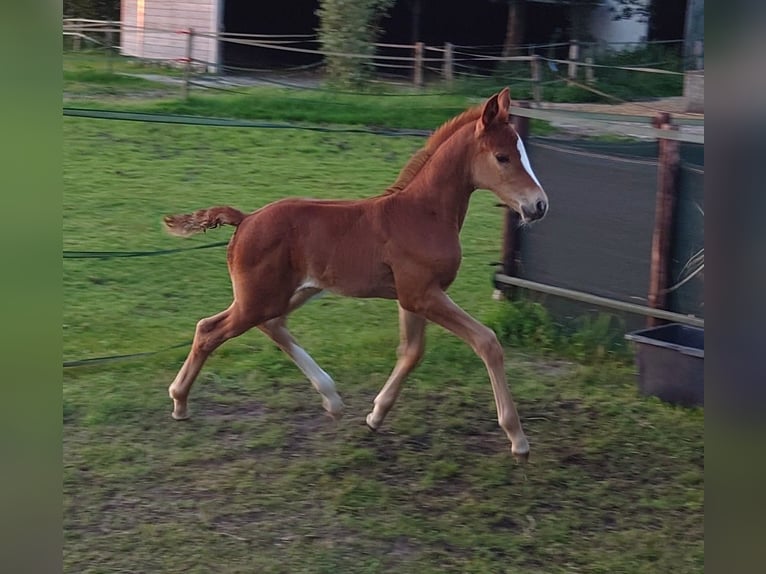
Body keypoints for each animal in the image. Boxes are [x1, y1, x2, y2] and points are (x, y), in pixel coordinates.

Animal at [164, 89, 544, 460]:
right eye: (502, 157)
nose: (539, 206)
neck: (423, 213)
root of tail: (245, 219)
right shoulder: (422, 294)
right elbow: (487, 342)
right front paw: (517, 438)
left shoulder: (412, 297)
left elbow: (411, 351)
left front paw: (375, 415)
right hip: (259, 299)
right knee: (210, 330)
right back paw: (180, 403)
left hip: (290, 292)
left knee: (269, 325)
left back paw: (331, 398)